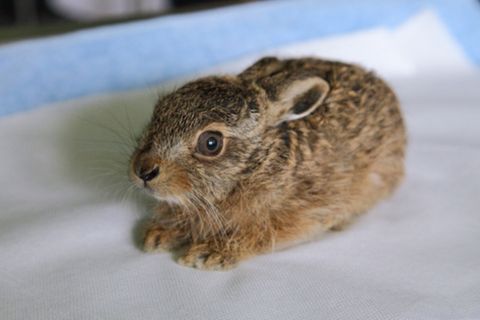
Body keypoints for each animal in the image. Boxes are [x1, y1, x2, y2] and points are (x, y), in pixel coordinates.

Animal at [130, 57, 404, 270]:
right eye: (160, 111)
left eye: (211, 143)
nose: (143, 170)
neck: (256, 164)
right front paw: (158, 235)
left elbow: (256, 235)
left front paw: (208, 253)